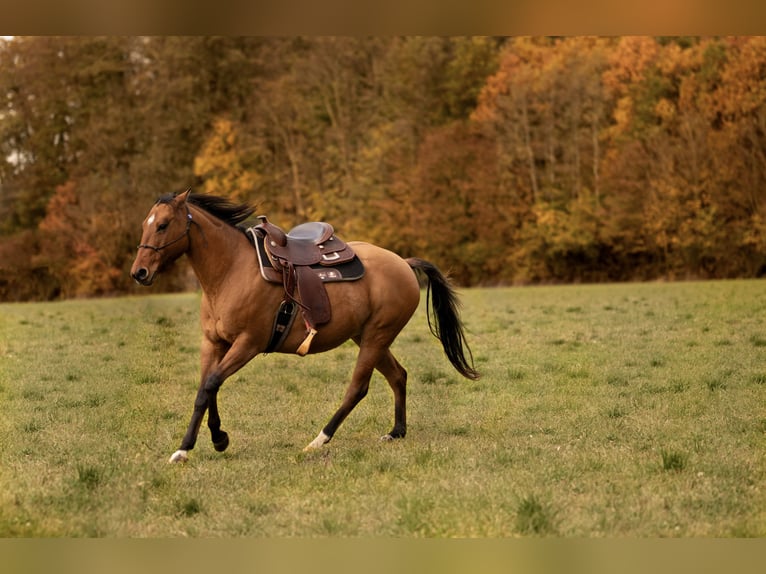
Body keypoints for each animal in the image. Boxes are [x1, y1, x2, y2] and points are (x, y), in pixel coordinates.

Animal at [130, 189, 478, 463]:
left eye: (162, 225)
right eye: (145, 225)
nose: (139, 272)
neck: (232, 271)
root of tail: (403, 263)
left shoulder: (248, 344)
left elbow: (211, 385)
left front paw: (193, 446)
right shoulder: (214, 343)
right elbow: (206, 388)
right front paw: (211, 441)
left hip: (376, 338)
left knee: (358, 388)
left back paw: (318, 440)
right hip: (368, 337)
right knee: (398, 375)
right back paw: (396, 432)